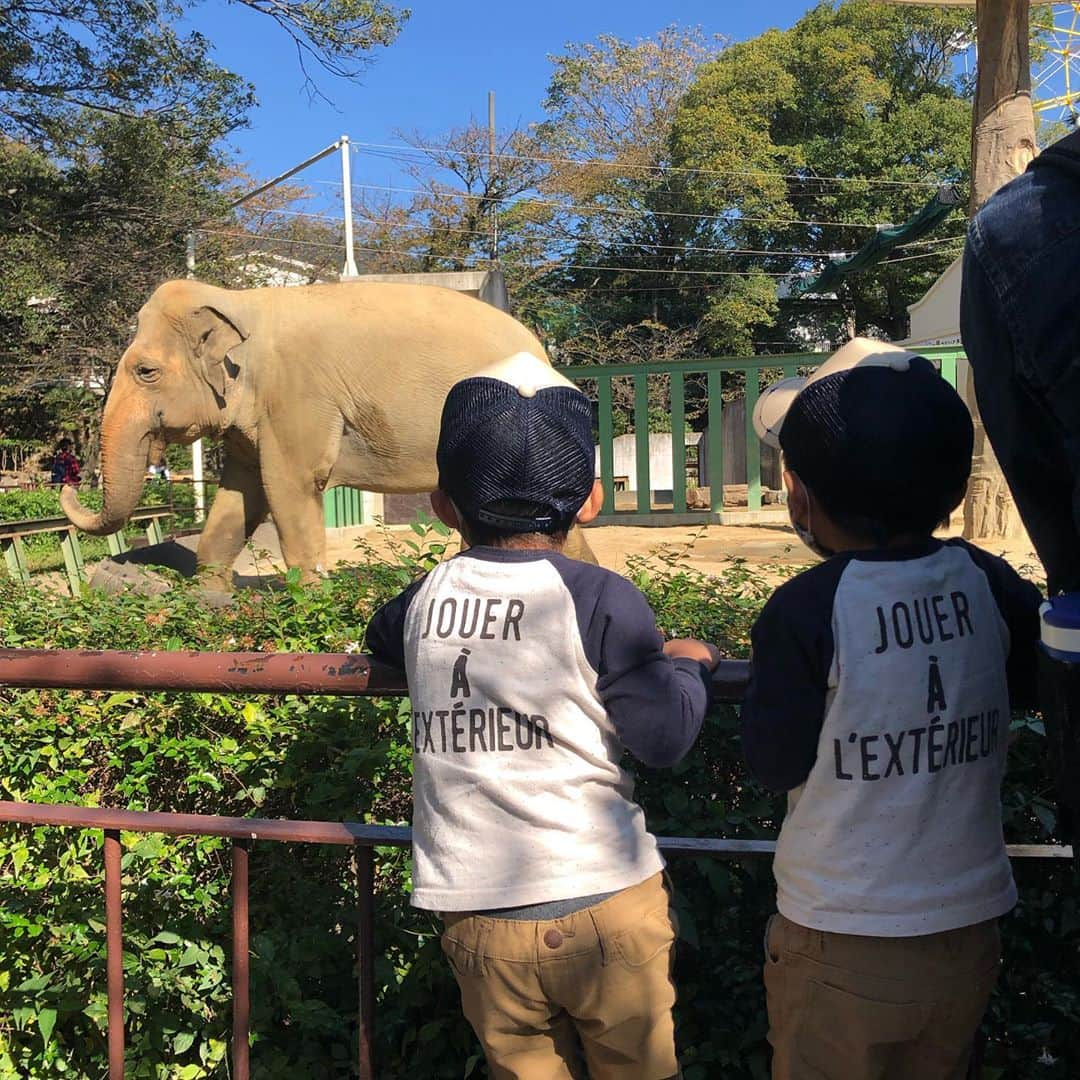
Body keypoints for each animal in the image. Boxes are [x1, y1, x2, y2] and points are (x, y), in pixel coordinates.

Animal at [65, 276, 600, 583]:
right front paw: (211, 606)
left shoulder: (295, 394)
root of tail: (542, 348)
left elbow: (290, 487)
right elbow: (239, 496)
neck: (240, 304)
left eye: (145, 372)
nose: (70, 480)